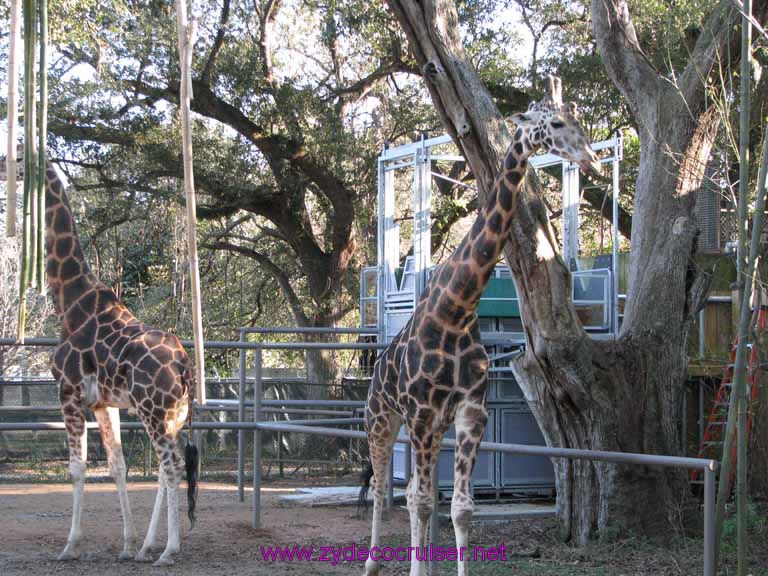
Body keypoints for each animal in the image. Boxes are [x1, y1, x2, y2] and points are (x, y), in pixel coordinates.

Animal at [0, 150, 201, 568]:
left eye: (15, 155)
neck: (70, 302)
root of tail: (183, 365)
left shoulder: (69, 392)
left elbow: (77, 469)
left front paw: (70, 545)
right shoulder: (102, 402)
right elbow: (117, 466)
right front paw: (127, 543)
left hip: (152, 410)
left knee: (172, 466)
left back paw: (168, 551)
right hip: (172, 414)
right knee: (164, 469)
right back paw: (146, 548)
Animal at [360, 76, 600, 576]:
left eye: (576, 119)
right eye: (556, 123)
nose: (590, 155)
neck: (456, 308)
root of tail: (374, 370)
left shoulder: (470, 411)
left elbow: (459, 507)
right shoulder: (423, 413)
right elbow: (421, 500)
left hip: (424, 427)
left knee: (414, 494)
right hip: (382, 420)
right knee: (382, 487)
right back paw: (372, 564)